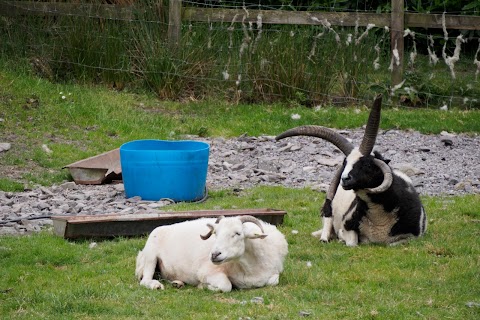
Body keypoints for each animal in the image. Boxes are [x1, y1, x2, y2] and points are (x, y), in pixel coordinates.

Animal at [134, 215, 288, 292]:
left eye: (238, 233)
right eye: (215, 233)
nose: (214, 255)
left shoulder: (274, 271)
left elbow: (273, 281)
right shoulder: (207, 272)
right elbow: (226, 286)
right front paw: (203, 286)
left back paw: (178, 283)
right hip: (151, 256)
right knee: (144, 280)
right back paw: (155, 285)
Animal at [278, 94, 428, 245]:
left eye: (367, 165)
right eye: (345, 163)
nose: (345, 179)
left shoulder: (411, 237)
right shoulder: (347, 228)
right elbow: (352, 243)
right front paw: (340, 239)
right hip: (328, 209)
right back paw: (324, 238)